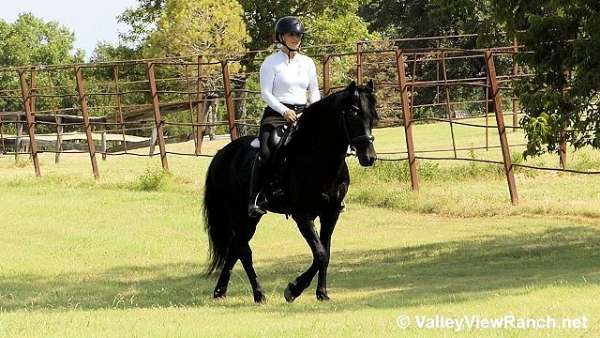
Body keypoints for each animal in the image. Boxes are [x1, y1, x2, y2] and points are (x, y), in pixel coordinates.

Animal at [204, 80, 378, 304]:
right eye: (353, 113)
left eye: (372, 114)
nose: (369, 157)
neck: (316, 158)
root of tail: (222, 154)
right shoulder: (302, 216)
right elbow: (320, 253)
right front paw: (293, 289)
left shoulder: (331, 214)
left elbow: (325, 253)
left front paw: (322, 293)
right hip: (241, 214)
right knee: (243, 250)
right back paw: (258, 294)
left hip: (250, 218)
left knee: (236, 248)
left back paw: (221, 291)